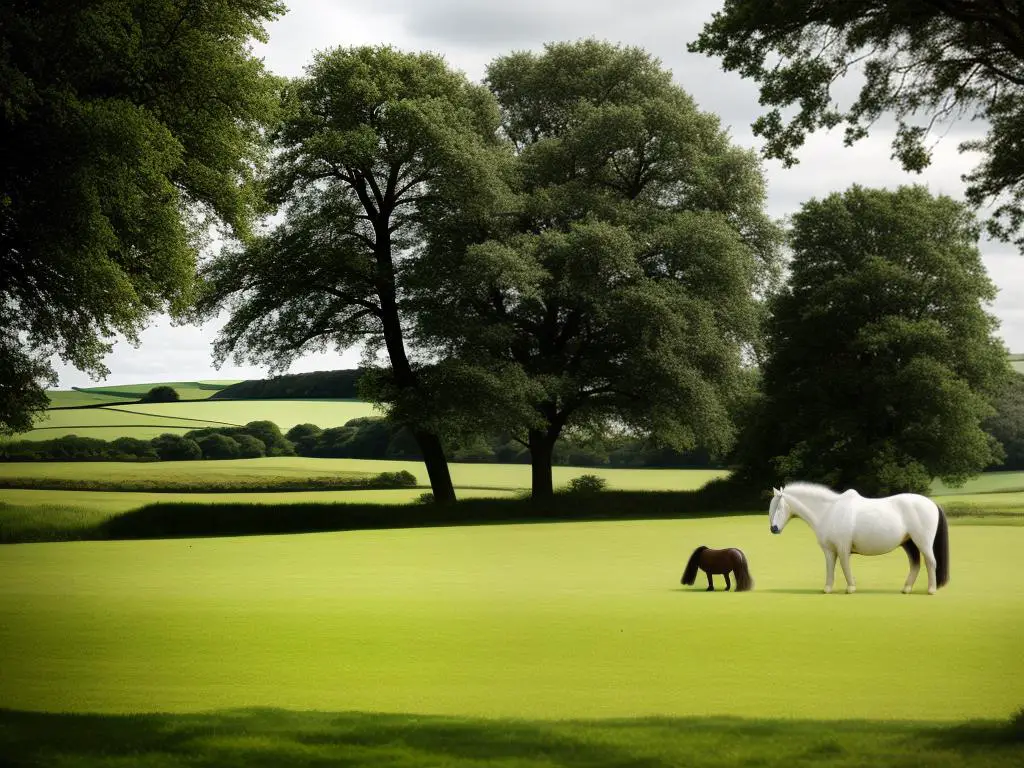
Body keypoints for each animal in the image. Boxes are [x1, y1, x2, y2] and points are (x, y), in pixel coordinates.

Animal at [770, 483, 950, 598]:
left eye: (779, 507)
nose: (773, 529)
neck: (829, 511)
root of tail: (932, 503)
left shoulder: (843, 547)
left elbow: (844, 566)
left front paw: (850, 588)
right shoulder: (829, 550)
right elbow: (830, 567)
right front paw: (827, 589)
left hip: (922, 542)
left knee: (930, 562)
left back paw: (931, 590)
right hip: (909, 543)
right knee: (915, 564)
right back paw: (906, 589)